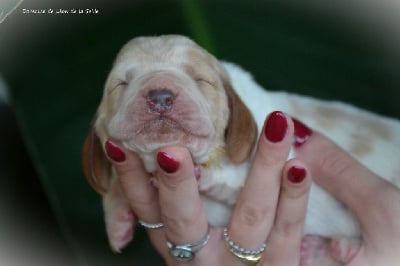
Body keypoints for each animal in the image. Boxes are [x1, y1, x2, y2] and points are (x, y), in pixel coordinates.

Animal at [82, 34, 400, 264]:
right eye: (121, 84)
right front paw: (118, 221)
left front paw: (201, 175)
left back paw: (338, 247)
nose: (160, 96)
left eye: (200, 80)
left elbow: (231, 178)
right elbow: (114, 184)